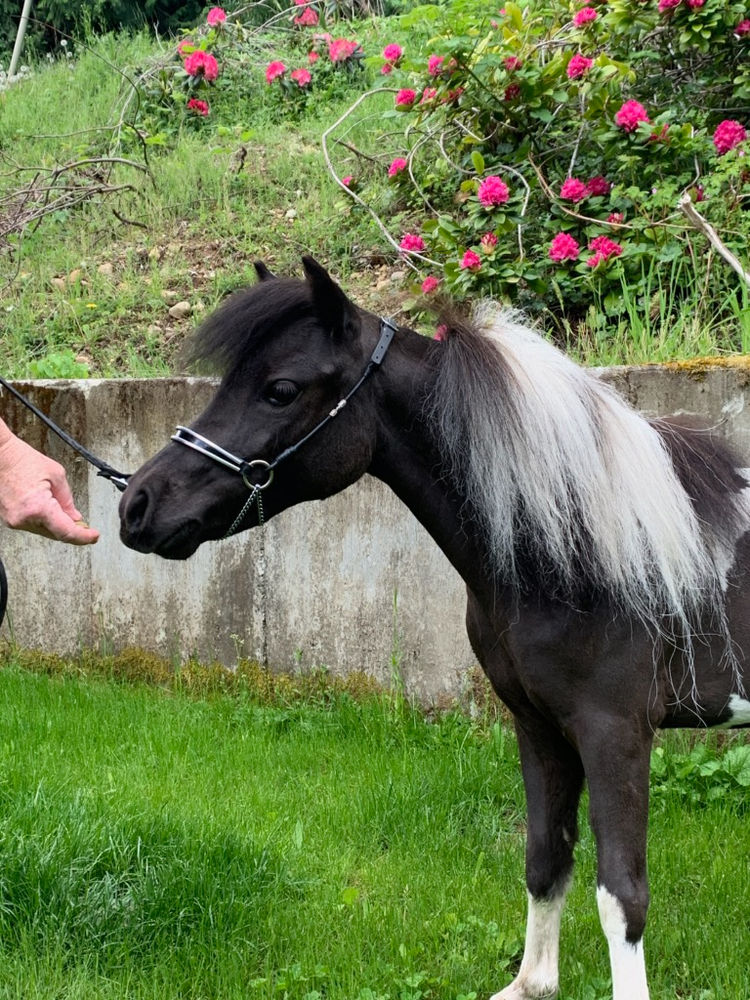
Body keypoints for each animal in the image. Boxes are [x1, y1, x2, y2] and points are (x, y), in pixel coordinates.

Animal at [119, 257, 750, 1000]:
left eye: (280, 390)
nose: (138, 504)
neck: (580, 545)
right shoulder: (539, 727)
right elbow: (545, 858)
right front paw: (533, 983)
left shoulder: (615, 732)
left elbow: (621, 894)